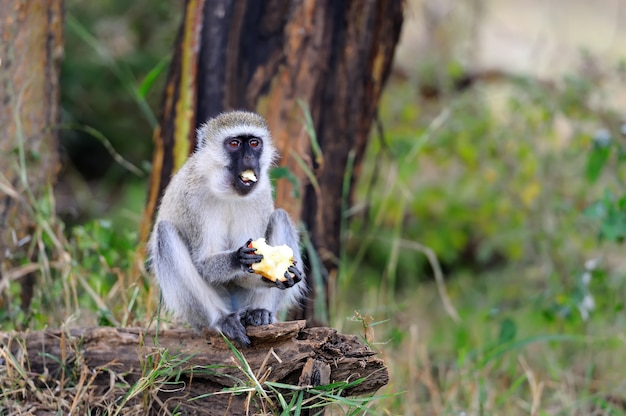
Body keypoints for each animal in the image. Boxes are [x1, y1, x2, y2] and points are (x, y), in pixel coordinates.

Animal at [151, 109, 308, 344]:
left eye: (254, 143)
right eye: (234, 143)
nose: (249, 158)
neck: (228, 191)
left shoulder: (260, 195)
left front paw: (277, 274)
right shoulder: (193, 199)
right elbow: (203, 263)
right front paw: (238, 257)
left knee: (280, 216)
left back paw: (259, 312)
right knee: (165, 233)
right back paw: (222, 319)